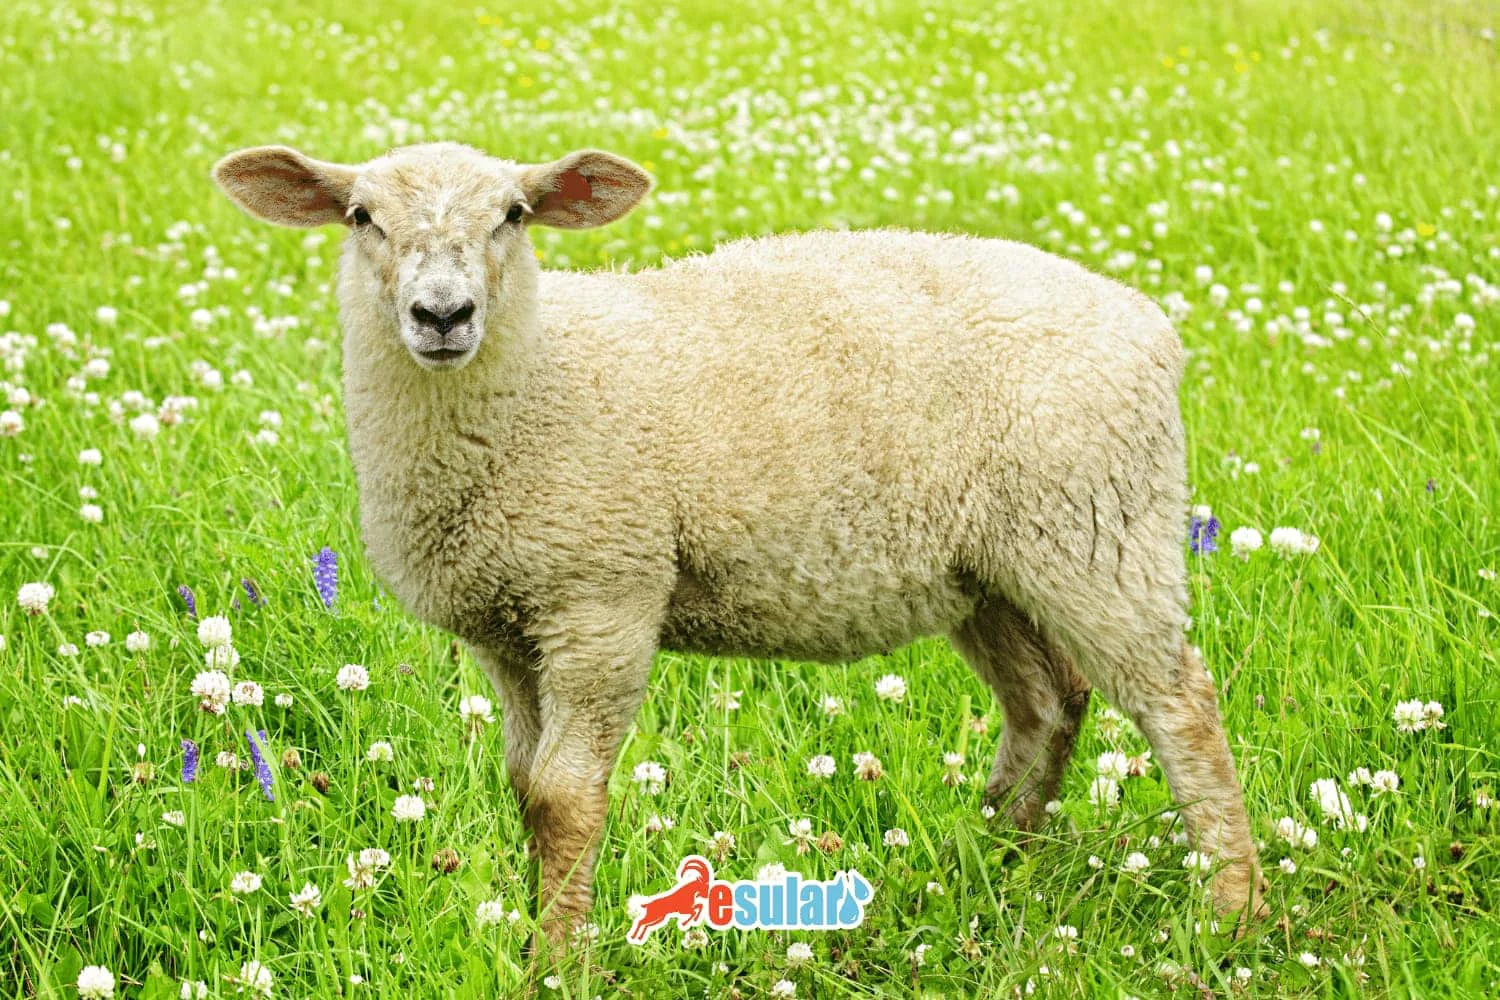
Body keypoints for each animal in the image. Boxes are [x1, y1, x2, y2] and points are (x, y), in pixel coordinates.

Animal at [213, 141, 1266, 944]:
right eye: (360, 216)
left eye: (514, 213)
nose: (443, 315)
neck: (539, 384)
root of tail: (1149, 322)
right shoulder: (509, 628)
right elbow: (522, 787)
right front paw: (535, 928)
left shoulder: (603, 598)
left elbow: (562, 799)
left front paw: (559, 958)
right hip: (988, 567)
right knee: (1048, 703)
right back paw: (991, 859)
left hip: (1099, 530)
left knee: (1180, 706)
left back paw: (1231, 909)